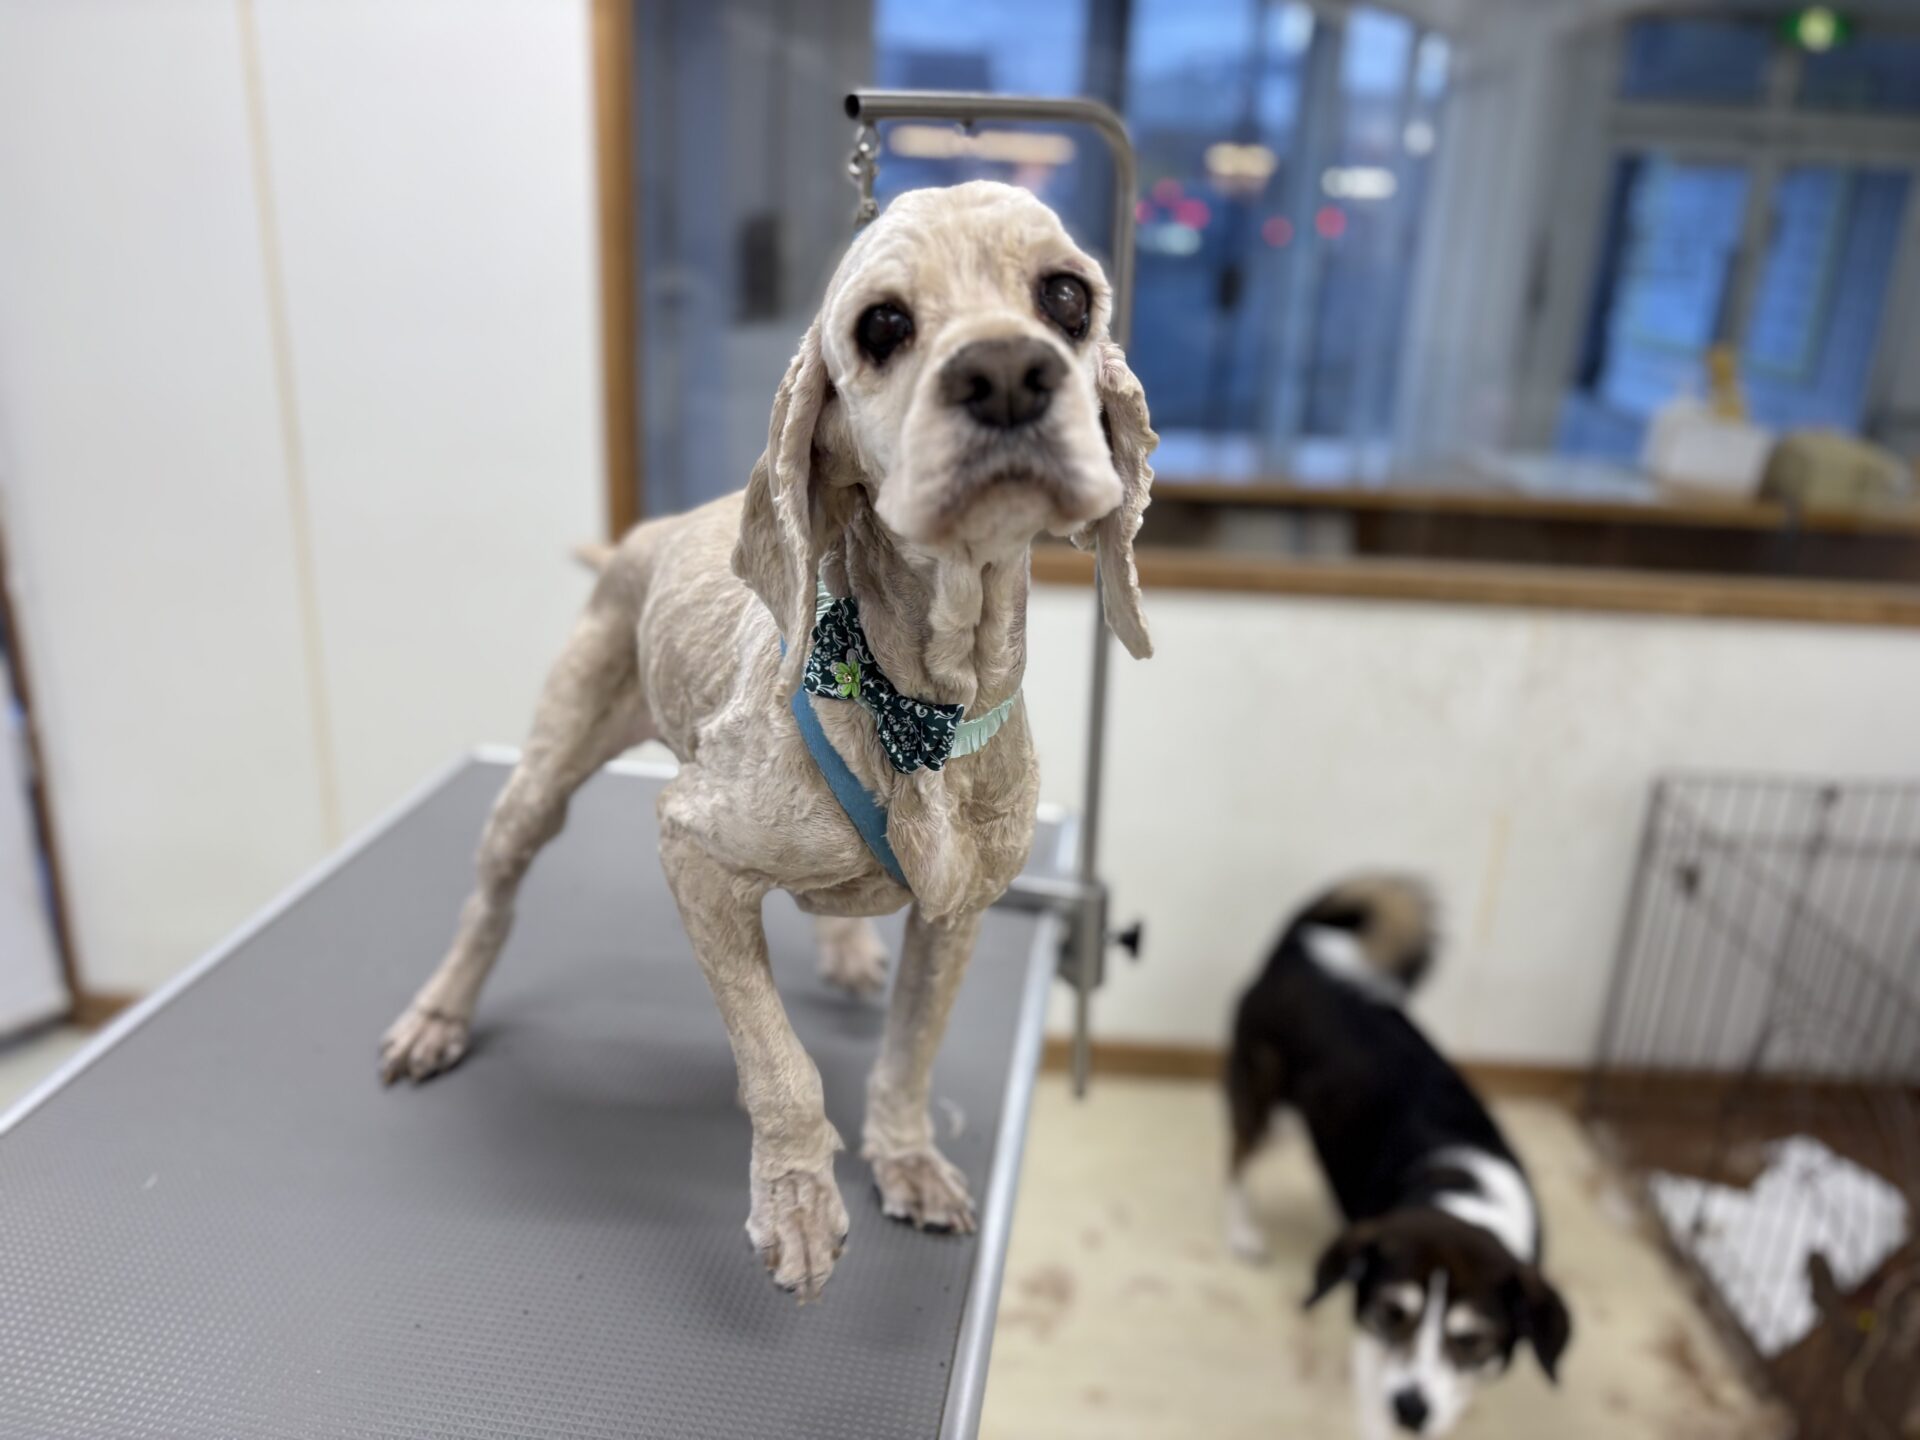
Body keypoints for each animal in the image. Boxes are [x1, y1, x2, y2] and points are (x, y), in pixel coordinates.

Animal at [376, 181, 1157, 1302]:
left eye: (1066, 297)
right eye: (882, 326)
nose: (1008, 371)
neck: (916, 705)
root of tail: (645, 534)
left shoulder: (958, 912)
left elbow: (911, 1053)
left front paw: (906, 1158)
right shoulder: (693, 849)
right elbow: (779, 1063)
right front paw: (797, 1197)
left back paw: (845, 942)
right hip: (541, 779)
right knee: (490, 901)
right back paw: (440, 1013)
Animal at [1225, 876, 1571, 1436]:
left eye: (1472, 1340)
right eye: (1391, 1313)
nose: (1410, 1408)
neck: (1463, 1196)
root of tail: (1303, 951)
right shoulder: (1372, 1351)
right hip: (1267, 1109)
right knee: (1236, 1162)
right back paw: (1241, 1232)